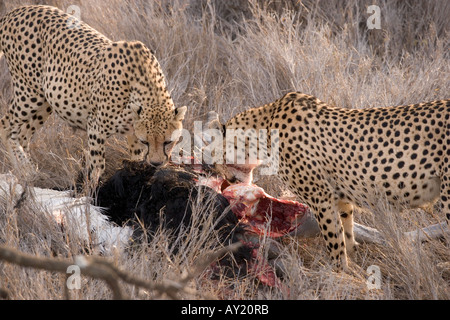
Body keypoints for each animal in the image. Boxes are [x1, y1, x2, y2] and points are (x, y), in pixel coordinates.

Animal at [0, 5, 186, 181]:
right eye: (146, 141)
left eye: (168, 142)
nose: (156, 163)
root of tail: (16, 11)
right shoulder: (96, 127)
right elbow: (96, 168)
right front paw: (92, 190)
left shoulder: (132, 134)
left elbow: (136, 159)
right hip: (29, 92)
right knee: (6, 126)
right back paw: (26, 171)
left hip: (46, 102)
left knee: (23, 134)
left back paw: (29, 173)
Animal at [208, 90, 450, 270]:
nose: (219, 175)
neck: (263, 129)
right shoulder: (341, 196)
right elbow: (346, 232)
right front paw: (353, 264)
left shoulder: (320, 198)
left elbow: (333, 239)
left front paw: (338, 273)